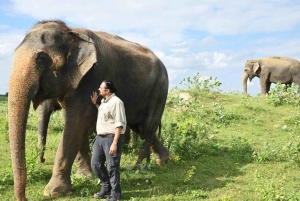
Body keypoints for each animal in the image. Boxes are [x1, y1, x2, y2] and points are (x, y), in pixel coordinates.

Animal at [8, 19, 169, 200]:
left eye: (41, 59)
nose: (24, 197)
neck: (72, 32)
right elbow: (74, 123)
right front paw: (84, 177)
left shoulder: (92, 76)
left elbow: (77, 122)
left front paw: (54, 192)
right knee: (141, 127)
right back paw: (163, 160)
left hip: (159, 90)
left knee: (147, 127)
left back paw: (139, 168)